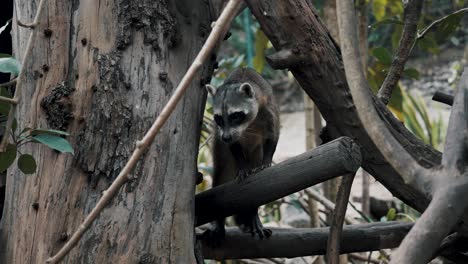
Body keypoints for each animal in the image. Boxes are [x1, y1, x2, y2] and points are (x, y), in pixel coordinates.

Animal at [204, 68, 278, 243]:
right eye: (218, 118)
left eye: (235, 115)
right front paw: (243, 166)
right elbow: (234, 146)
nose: (225, 137)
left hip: (256, 154)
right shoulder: (224, 137)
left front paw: (267, 160)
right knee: (221, 176)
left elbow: (272, 137)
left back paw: (253, 215)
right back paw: (219, 222)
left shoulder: (269, 109)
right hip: (221, 153)